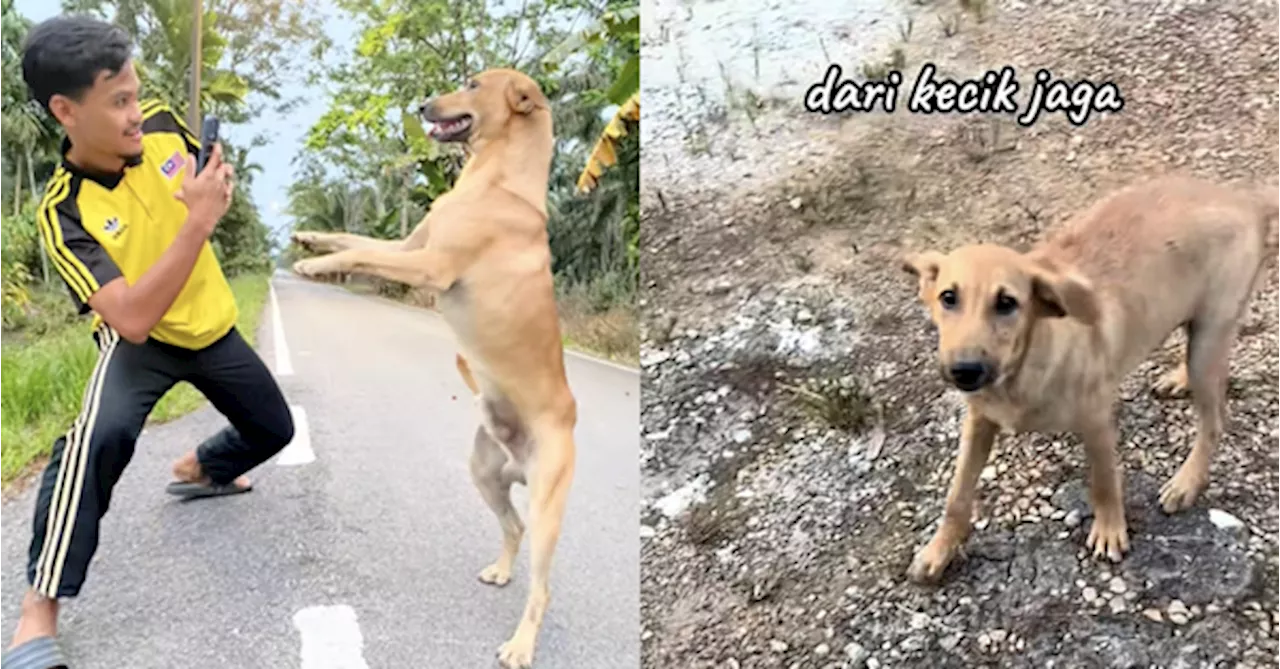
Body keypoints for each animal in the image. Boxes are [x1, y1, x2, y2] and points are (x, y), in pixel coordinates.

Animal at [290, 69, 576, 669]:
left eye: (472, 83)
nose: (422, 105)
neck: (497, 181)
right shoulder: (408, 244)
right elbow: (351, 239)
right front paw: (309, 238)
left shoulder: (428, 264)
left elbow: (356, 255)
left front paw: (312, 264)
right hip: (485, 473)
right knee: (512, 526)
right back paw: (501, 570)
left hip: (548, 504)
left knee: (541, 586)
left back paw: (520, 645)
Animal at [901, 176, 1280, 585]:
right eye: (948, 298)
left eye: (1007, 303)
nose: (965, 370)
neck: (1019, 370)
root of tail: (1246, 200)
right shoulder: (978, 420)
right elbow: (956, 495)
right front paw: (938, 550)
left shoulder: (1096, 419)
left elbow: (1104, 481)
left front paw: (1110, 530)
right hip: (1201, 332)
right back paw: (1180, 380)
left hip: (1209, 338)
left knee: (1214, 422)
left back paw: (1186, 483)